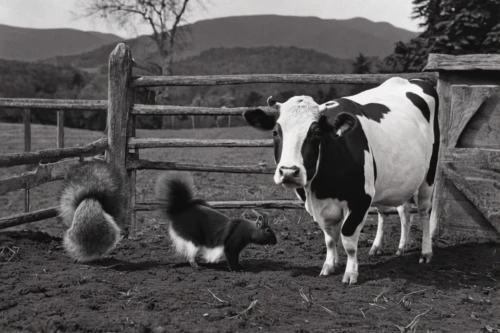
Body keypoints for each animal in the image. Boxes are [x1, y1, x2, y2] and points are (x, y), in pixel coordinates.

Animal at [244, 77, 440, 282]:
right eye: (275, 132)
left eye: (317, 133)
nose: (289, 172)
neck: (321, 189)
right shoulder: (320, 208)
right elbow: (330, 238)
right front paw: (329, 265)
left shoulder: (361, 199)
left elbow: (348, 238)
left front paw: (351, 273)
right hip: (397, 181)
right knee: (398, 212)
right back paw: (391, 247)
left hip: (428, 175)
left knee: (424, 211)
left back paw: (425, 253)